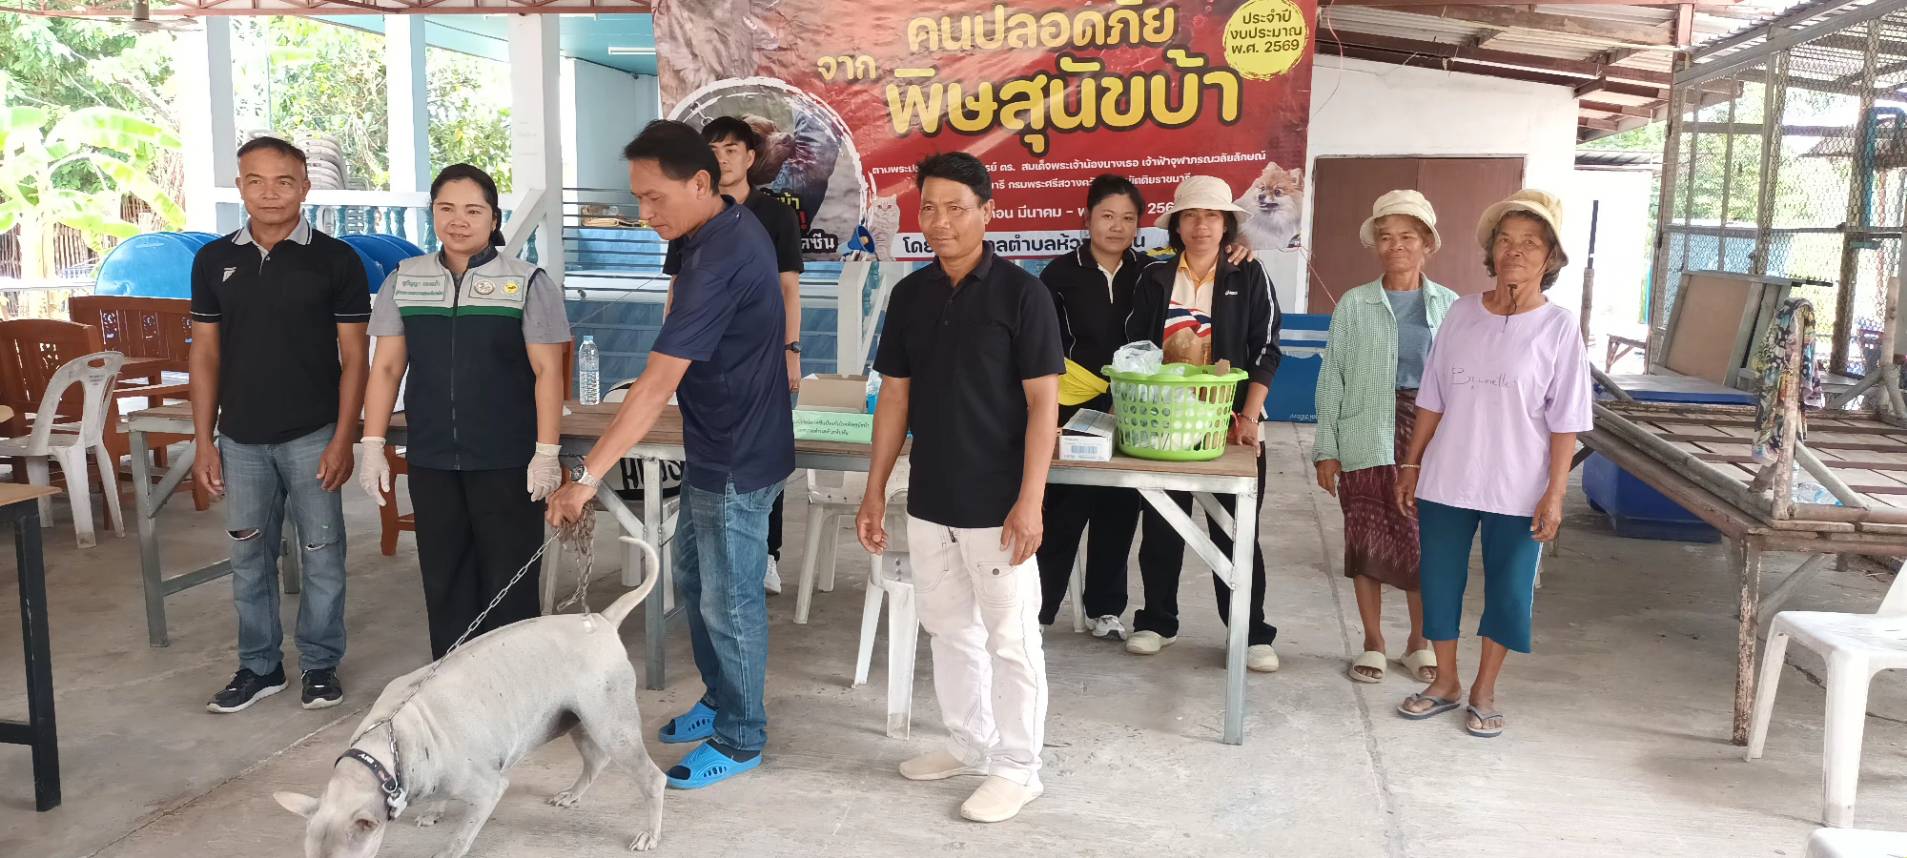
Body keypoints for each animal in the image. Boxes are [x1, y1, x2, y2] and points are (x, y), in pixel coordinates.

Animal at [275, 537, 666, 858]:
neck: (386, 748)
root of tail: (600, 620)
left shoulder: (488, 789)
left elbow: (462, 836)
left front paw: (447, 848)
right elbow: (439, 796)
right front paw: (434, 811)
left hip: (609, 722)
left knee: (650, 777)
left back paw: (649, 833)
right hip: (574, 718)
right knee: (596, 759)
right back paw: (572, 793)